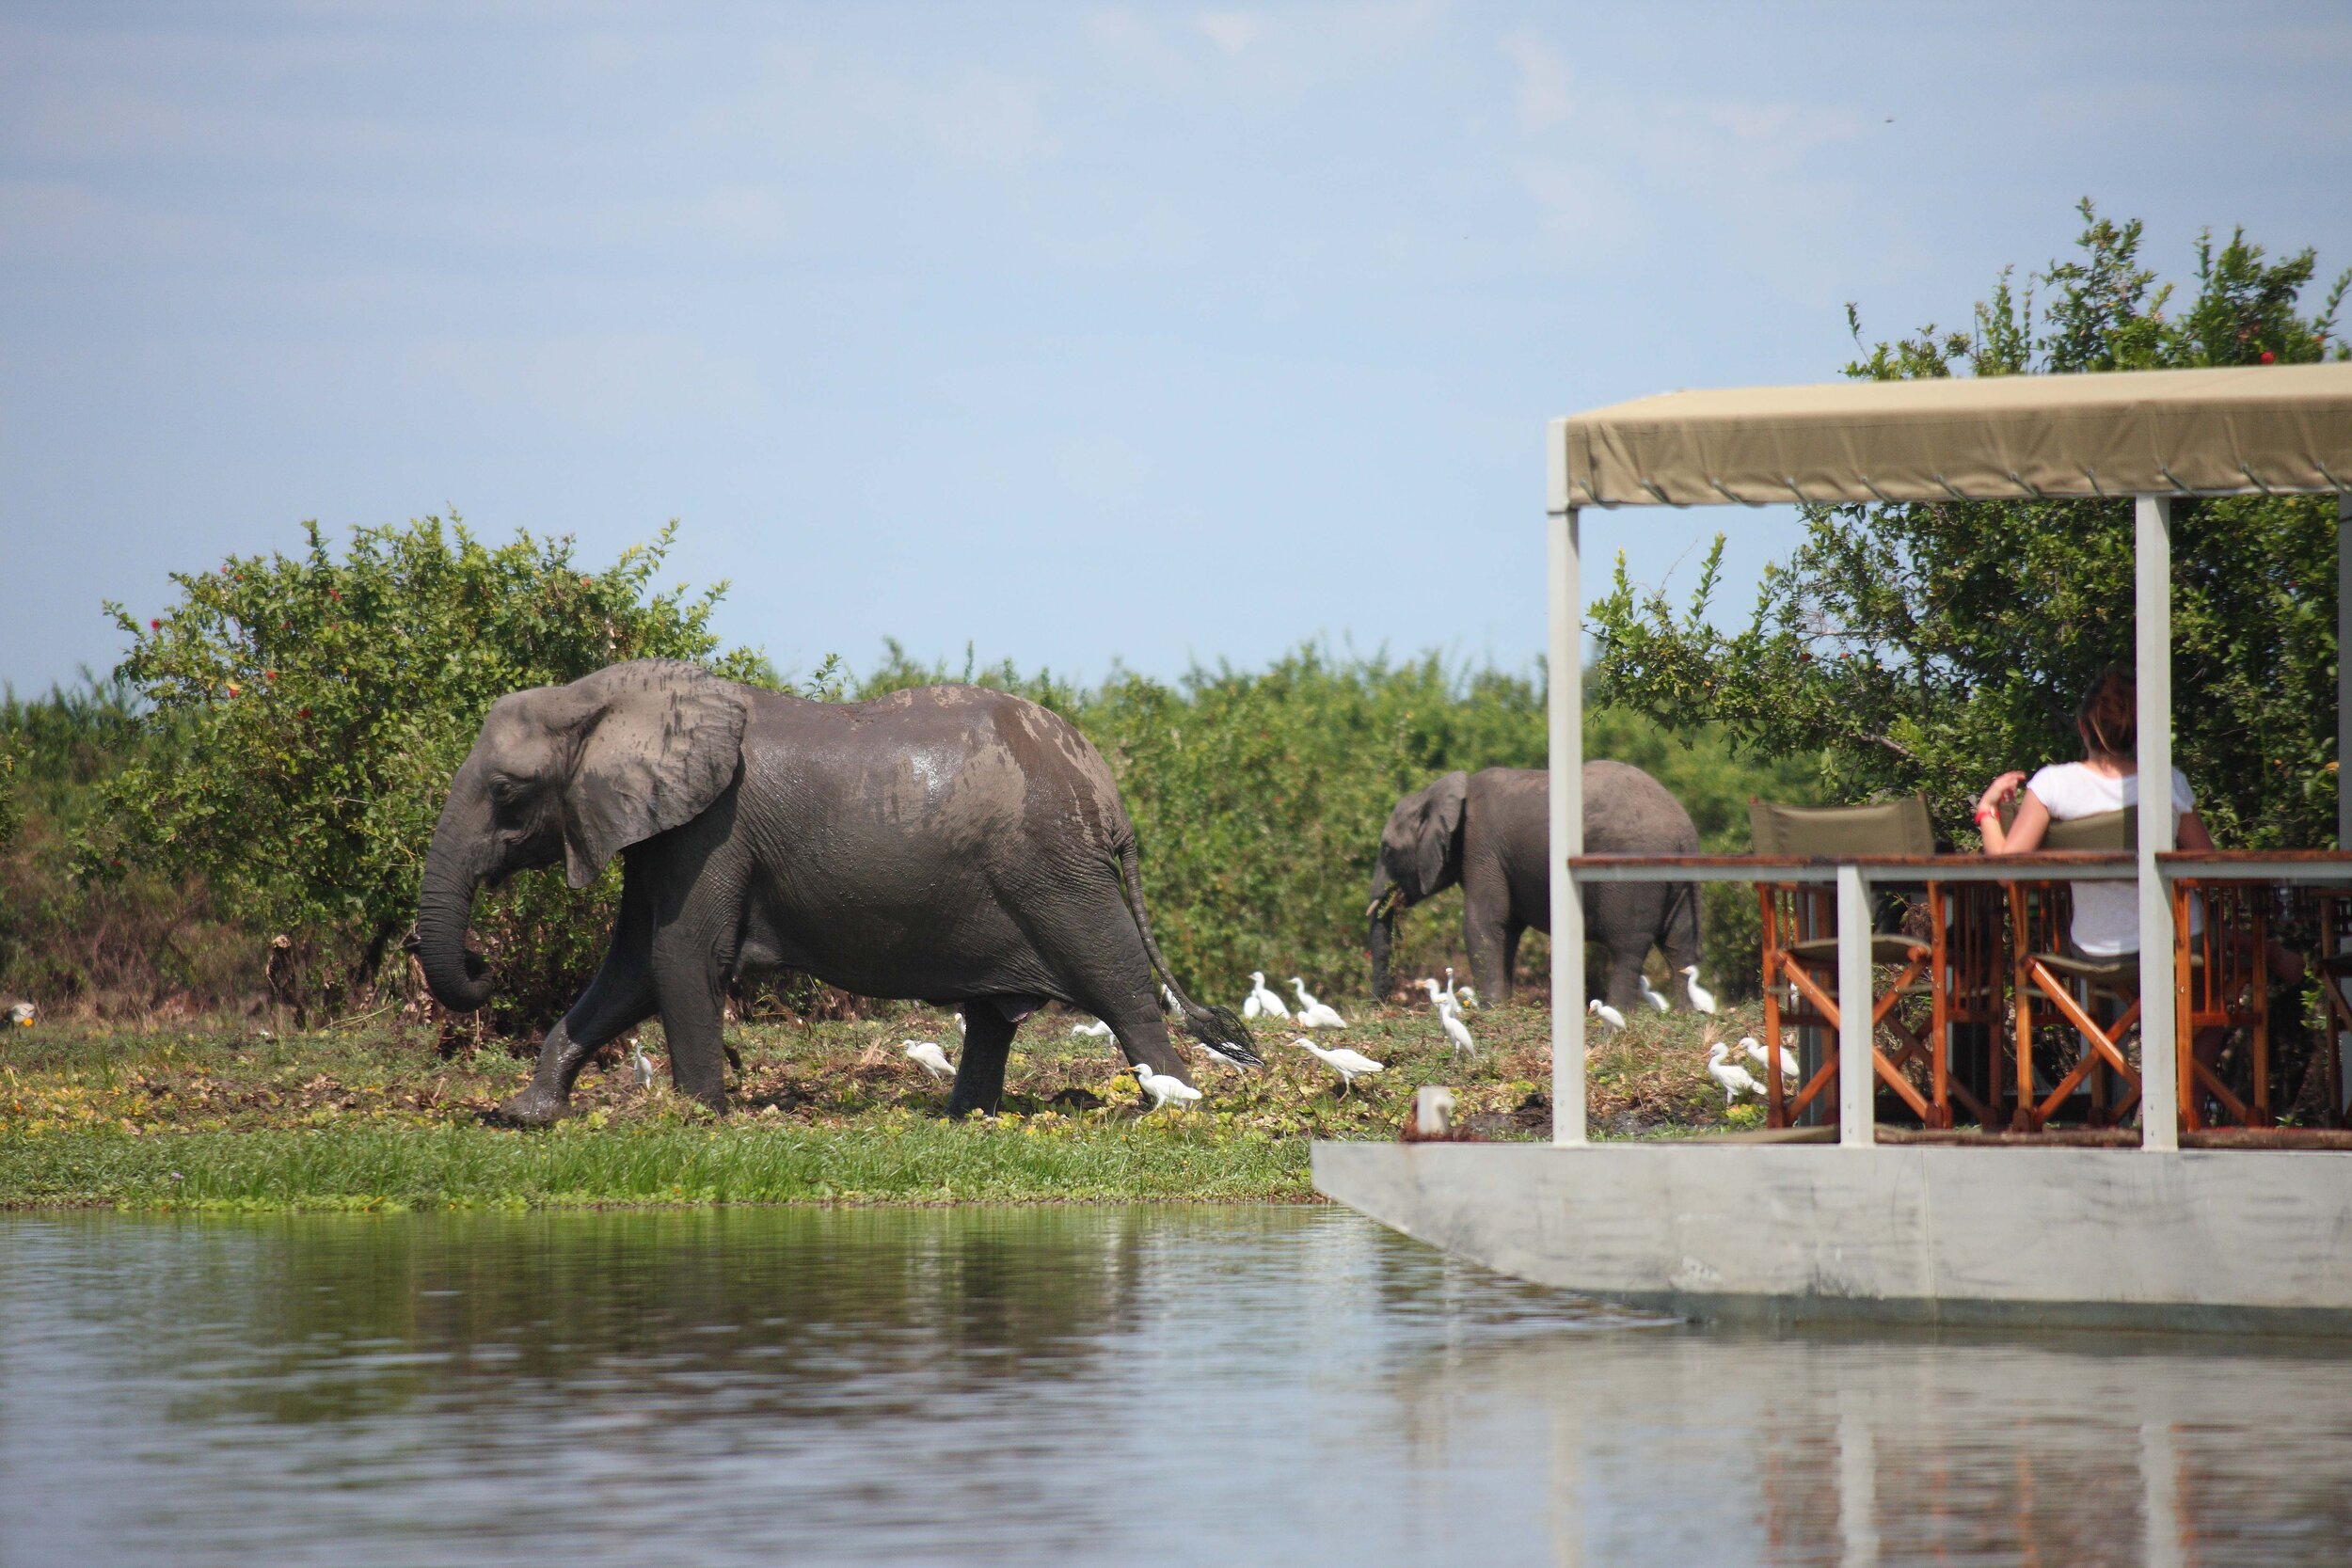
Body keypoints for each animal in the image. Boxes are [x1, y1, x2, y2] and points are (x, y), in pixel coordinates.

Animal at [423, 657, 1270, 1123]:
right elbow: (631, 967)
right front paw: (526, 1116)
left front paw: (698, 1119)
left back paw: (1172, 1104)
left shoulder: (711, 830)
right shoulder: (664, 834)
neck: (603, 695)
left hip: (1059, 874)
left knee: (1123, 991)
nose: (481, 963)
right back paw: (964, 1119)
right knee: (992, 1017)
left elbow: (680, 958)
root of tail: (1109, 796)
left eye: (506, 791)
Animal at [1374, 761, 1703, 1006]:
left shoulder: (1480, 848)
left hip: (1633, 877)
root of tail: (1684, 835)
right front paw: (1503, 1007)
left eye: (1387, 850)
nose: (1382, 1004)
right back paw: (1684, 1017)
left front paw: (1491, 1010)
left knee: (1627, 948)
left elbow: (1484, 923)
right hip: (1679, 879)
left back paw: (1617, 1016)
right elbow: (1507, 928)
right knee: (1679, 945)